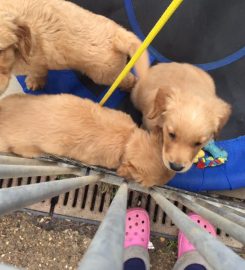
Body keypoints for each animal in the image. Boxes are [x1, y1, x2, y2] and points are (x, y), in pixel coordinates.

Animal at [0, 0, 148, 94]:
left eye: (1, 50)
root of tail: (118, 32)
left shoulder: (38, 65)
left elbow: (38, 74)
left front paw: (34, 82)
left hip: (105, 75)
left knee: (128, 79)